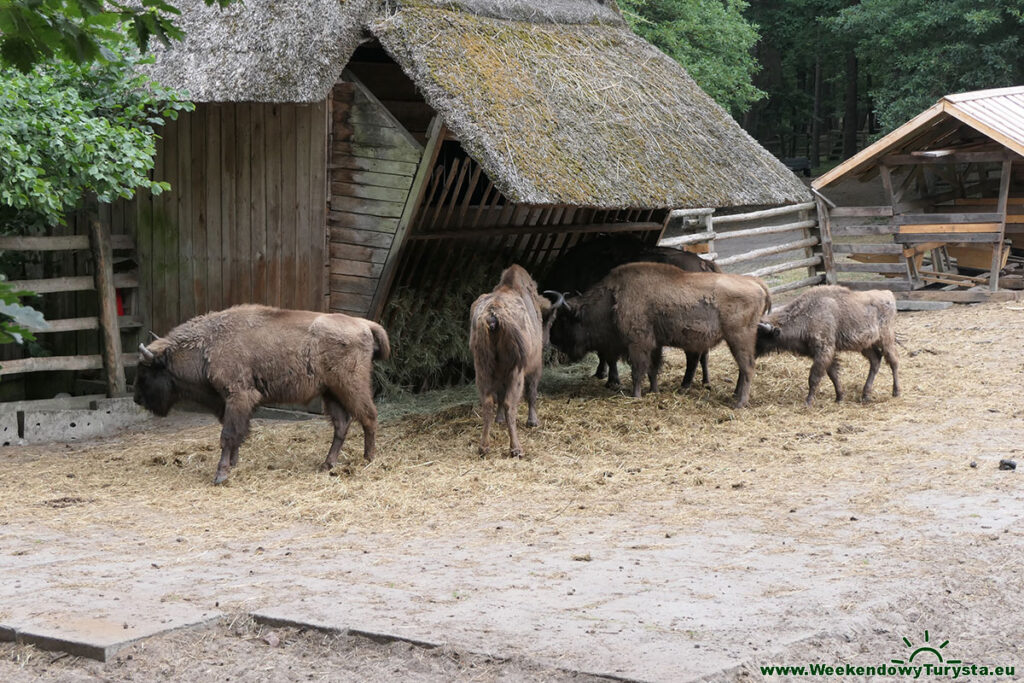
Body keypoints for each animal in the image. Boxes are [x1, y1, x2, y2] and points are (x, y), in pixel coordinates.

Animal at [134, 305, 389, 485]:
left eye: (146, 372)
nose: (137, 399)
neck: (208, 343)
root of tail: (363, 324)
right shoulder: (231, 404)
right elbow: (237, 433)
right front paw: (233, 464)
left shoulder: (238, 396)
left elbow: (228, 435)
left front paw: (220, 475)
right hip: (330, 392)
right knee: (342, 424)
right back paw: (327, 464)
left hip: (351, 386)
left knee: (369, 417)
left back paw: (368, 459)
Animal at [468, 264, 552, 456]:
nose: (547, 340)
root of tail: (493, 315)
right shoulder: (535, 366)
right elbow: (531, 393)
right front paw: (533, 421)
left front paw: (499, 420)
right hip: (516, 372)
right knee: (509, 404)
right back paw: (516, 449)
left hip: (482, 369)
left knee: (488, 403)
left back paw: (484, 447)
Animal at [544, 233, 720, 387]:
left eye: (561, 318)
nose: (553, 338)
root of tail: (705, 264)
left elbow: (608, 355)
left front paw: (610, 380)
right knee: (704, 355)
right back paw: (705, 382)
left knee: (694, 356)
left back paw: (686, 384)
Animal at [552, 264, 770, 409]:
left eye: (564, 319)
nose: (554, 341)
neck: (612, 297)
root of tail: (756, 282)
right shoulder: (654, 344)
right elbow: (652, 369)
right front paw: (653, 391)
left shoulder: (638, 343)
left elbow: (638, 370)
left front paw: (636, 396)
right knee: (743, 367)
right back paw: (735, 396)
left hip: (738, 337)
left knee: (747, 367)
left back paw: (740, 403)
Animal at [757, 284, 901, 405]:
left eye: (758, 335)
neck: (808, 312)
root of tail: (888, 294)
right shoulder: (826, 354)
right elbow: (833, 375)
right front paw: (839, 398)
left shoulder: (823, 351)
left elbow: (814, 377)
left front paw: (808, 402)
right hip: (865, 345)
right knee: (876, 360)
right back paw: (865, 395)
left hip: (886, 339)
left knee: (893, 361)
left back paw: (896, 392)